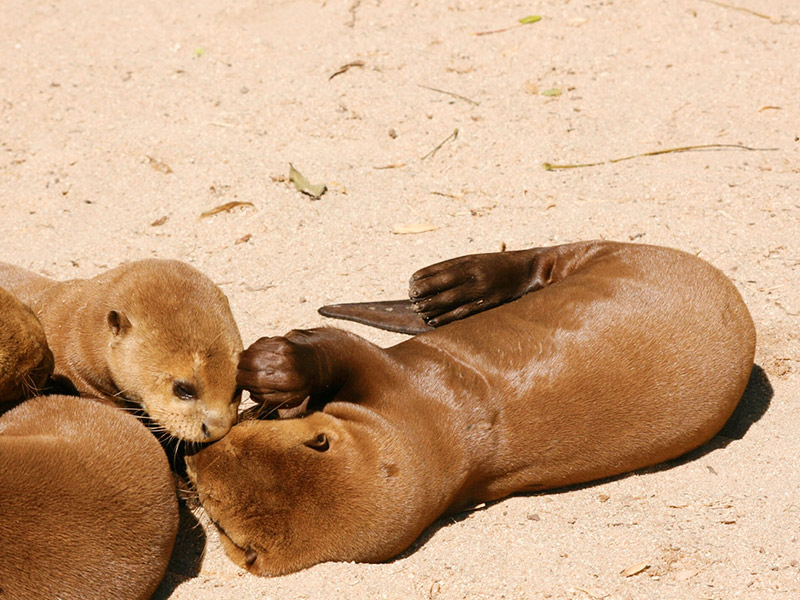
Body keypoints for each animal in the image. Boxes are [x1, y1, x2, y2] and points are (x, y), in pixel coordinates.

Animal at [186, 240, 756, 576]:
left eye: (211, 503)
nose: (193, 457)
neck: (440, 433)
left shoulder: (398, 379)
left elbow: (342, 348)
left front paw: (276, 367)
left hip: (627, 255)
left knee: (551, 254)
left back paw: (453, 286)